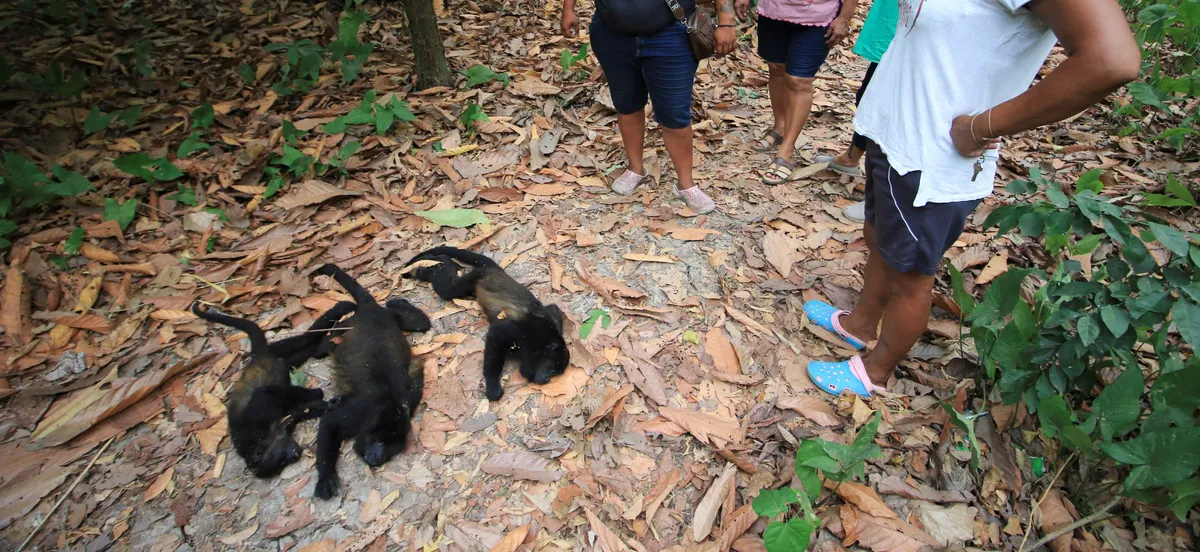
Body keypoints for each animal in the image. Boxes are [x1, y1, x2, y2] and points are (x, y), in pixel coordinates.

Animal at [192, 300, 355, 477]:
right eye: (281, 464)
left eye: (280, 459)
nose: (295, 455)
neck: (262, 440)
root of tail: (255, 357)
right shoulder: (282, 429)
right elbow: (299, 412)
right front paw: (329, 404)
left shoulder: (254, 420)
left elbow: (264, 393)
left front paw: (317, 393)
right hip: (284, 357)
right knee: (308, 350)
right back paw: (326, 343)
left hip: (276, 349)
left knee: (305, 338)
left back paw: (340, 311)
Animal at [314, 262, 432, 499]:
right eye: (378, 441)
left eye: (391, 447)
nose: (377, 457)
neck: (388, 405)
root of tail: (371, 309)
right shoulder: (360, 410)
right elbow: (330, 422)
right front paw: (325, 477)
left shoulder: (409, 399)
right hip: (351, 323)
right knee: (325, 345)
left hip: (392, 317)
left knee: (420, 322)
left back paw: (398, 302)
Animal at [405, 246, 568, 400]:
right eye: (552, 369)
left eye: (555, 373)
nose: (547, 379)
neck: (541, 341)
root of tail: (496, 270)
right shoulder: (523, 331)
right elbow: (496, 335)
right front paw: (493, 387)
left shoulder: (549, 320)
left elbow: (553, 308)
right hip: (476, 276)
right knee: (448, 289)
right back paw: (432, 266)